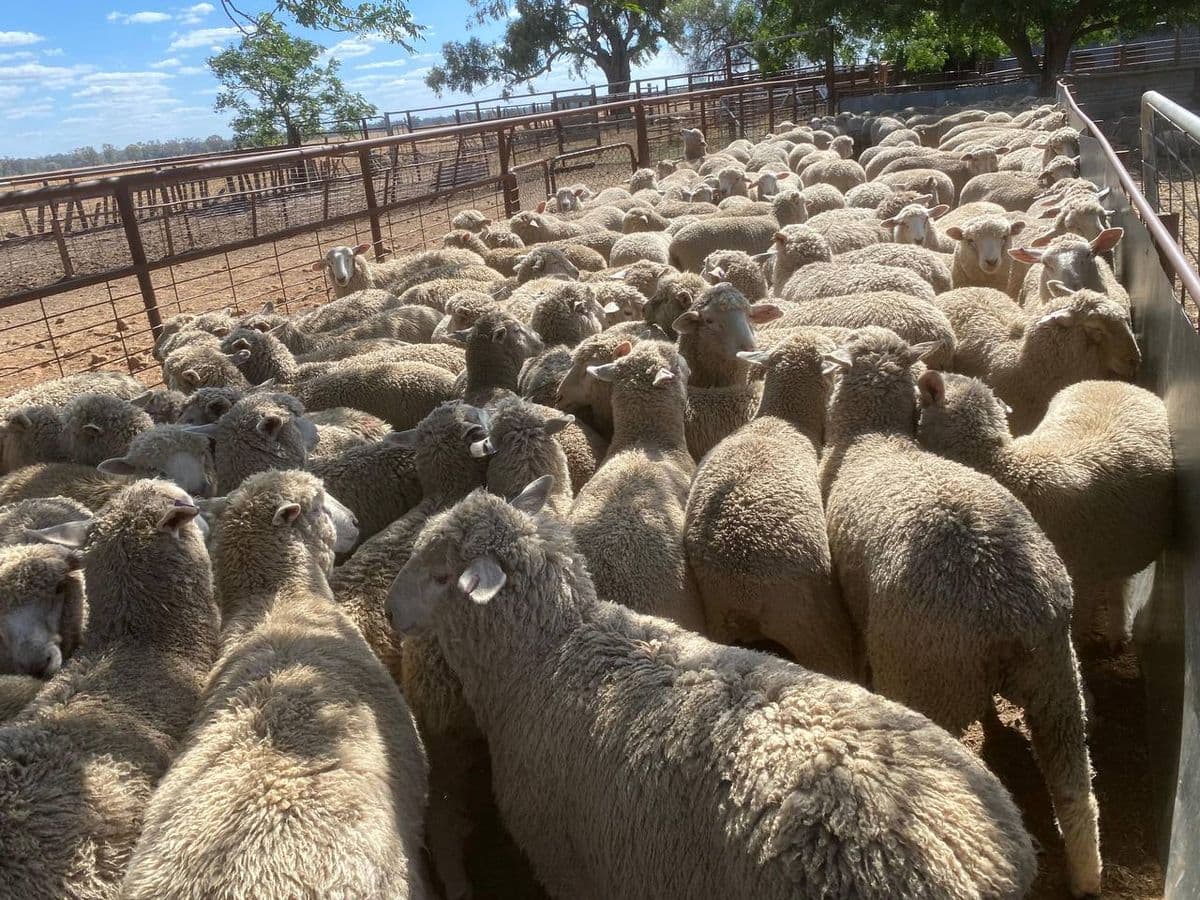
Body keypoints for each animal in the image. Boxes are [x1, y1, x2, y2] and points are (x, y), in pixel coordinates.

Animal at [818, 328, 1100, 896]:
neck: (873, 437)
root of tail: (1007, 612)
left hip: (929, 678)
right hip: (1056, 673)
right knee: (1076, 792)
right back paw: (1088, 875)